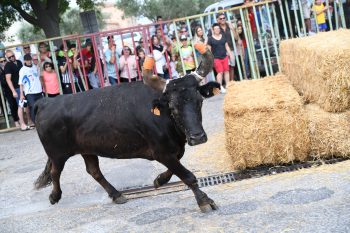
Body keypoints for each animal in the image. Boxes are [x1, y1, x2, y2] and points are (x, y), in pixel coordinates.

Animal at [32, 48, 219, 212]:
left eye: (200, 101)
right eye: (173, 107)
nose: (197, 137)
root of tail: (47, 102)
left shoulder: (174, 150)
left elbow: (175, 167)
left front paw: (159, 180)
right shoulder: (162, 152)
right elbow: (187, 176)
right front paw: (204, 201)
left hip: (87, 149)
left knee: (93, 171)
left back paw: (116, 195)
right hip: (57, 154)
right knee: (55, 172)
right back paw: (55, 196)